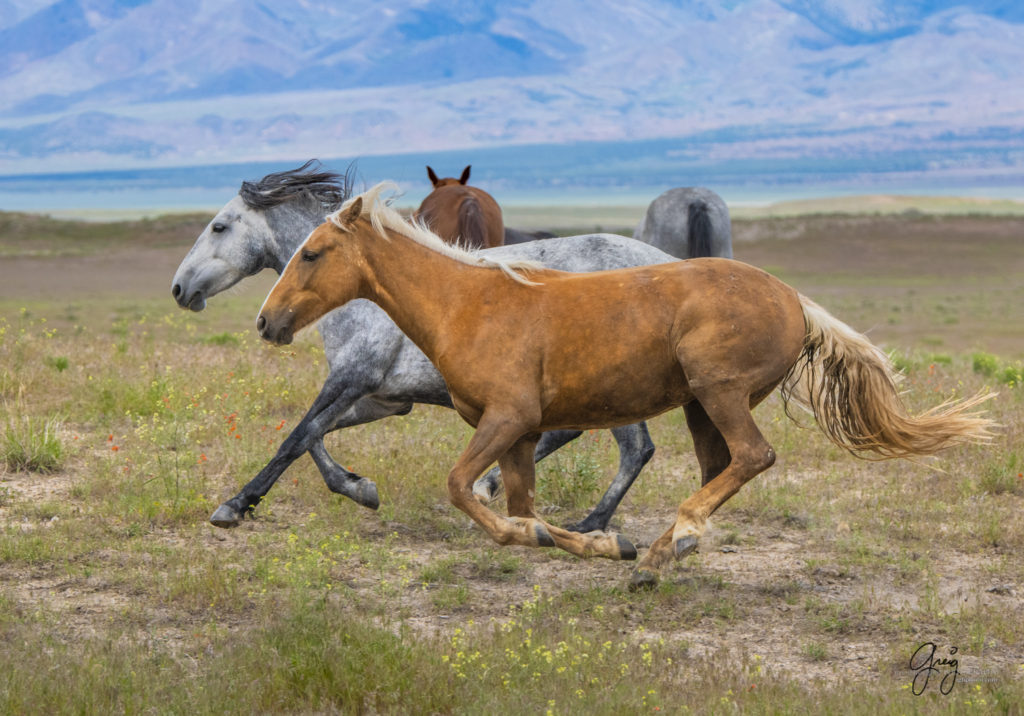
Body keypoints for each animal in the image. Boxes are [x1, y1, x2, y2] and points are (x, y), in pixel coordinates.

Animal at [169, 162, 679, 532]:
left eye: (219, 227)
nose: (178, 288)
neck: (367, 290)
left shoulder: (351, 378)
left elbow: (297, 436)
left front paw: (236, 505)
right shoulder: (384, 399)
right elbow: (314, 436)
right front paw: (358, 487)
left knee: (632, 448)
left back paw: (580, 520)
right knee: (620, 444)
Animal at [256, 183, 991, 590]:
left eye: (312, 253)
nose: (268, 320)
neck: (471, 303)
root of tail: (793, 299)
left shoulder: (506, 418)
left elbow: (467, 492)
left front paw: (603, 542)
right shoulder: (517, 433)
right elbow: (521, 510)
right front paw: (599, 543)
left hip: (717, 392)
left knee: (752, 457)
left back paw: (668, 544)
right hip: (700, 406)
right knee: (721, 467)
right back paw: (665, 551)